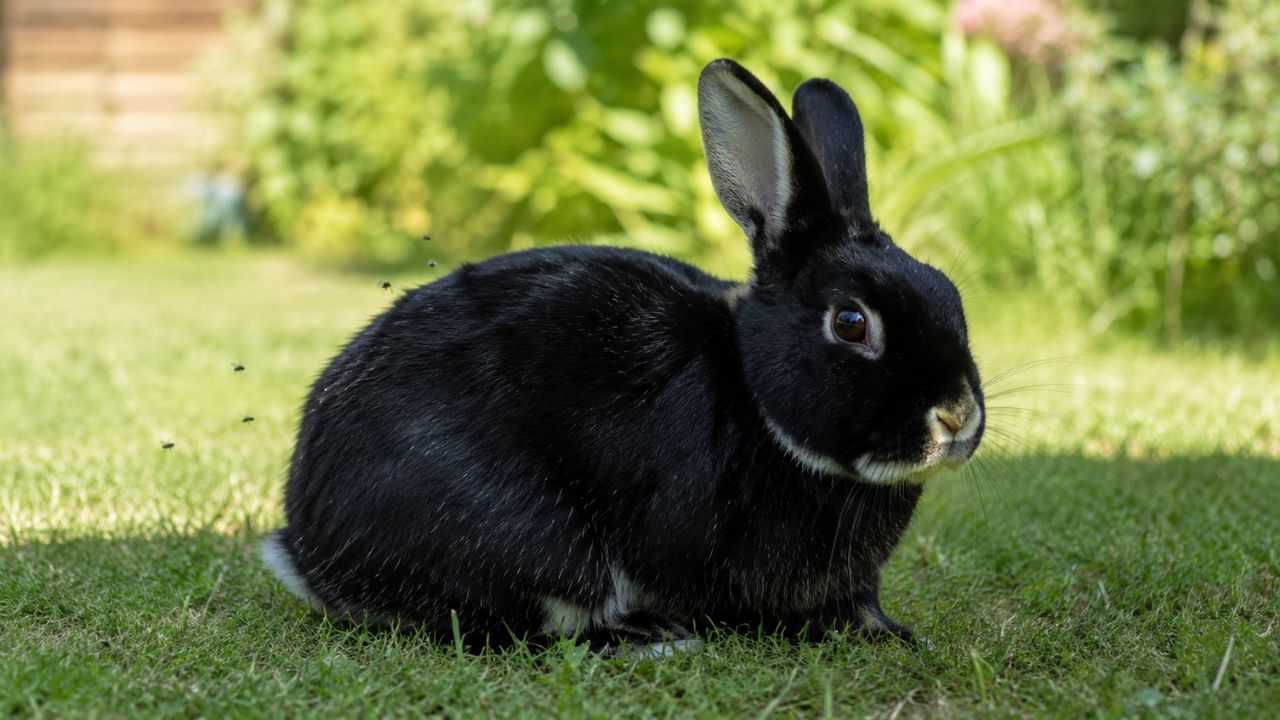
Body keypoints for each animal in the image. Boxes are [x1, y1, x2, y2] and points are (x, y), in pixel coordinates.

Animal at [261, 58, 985, 654]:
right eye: (852, 323)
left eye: (949, 293)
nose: (956, 416)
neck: (755, 399)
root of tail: (311, 551)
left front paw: (895, 636)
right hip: (531, 538)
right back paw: (646, 638)